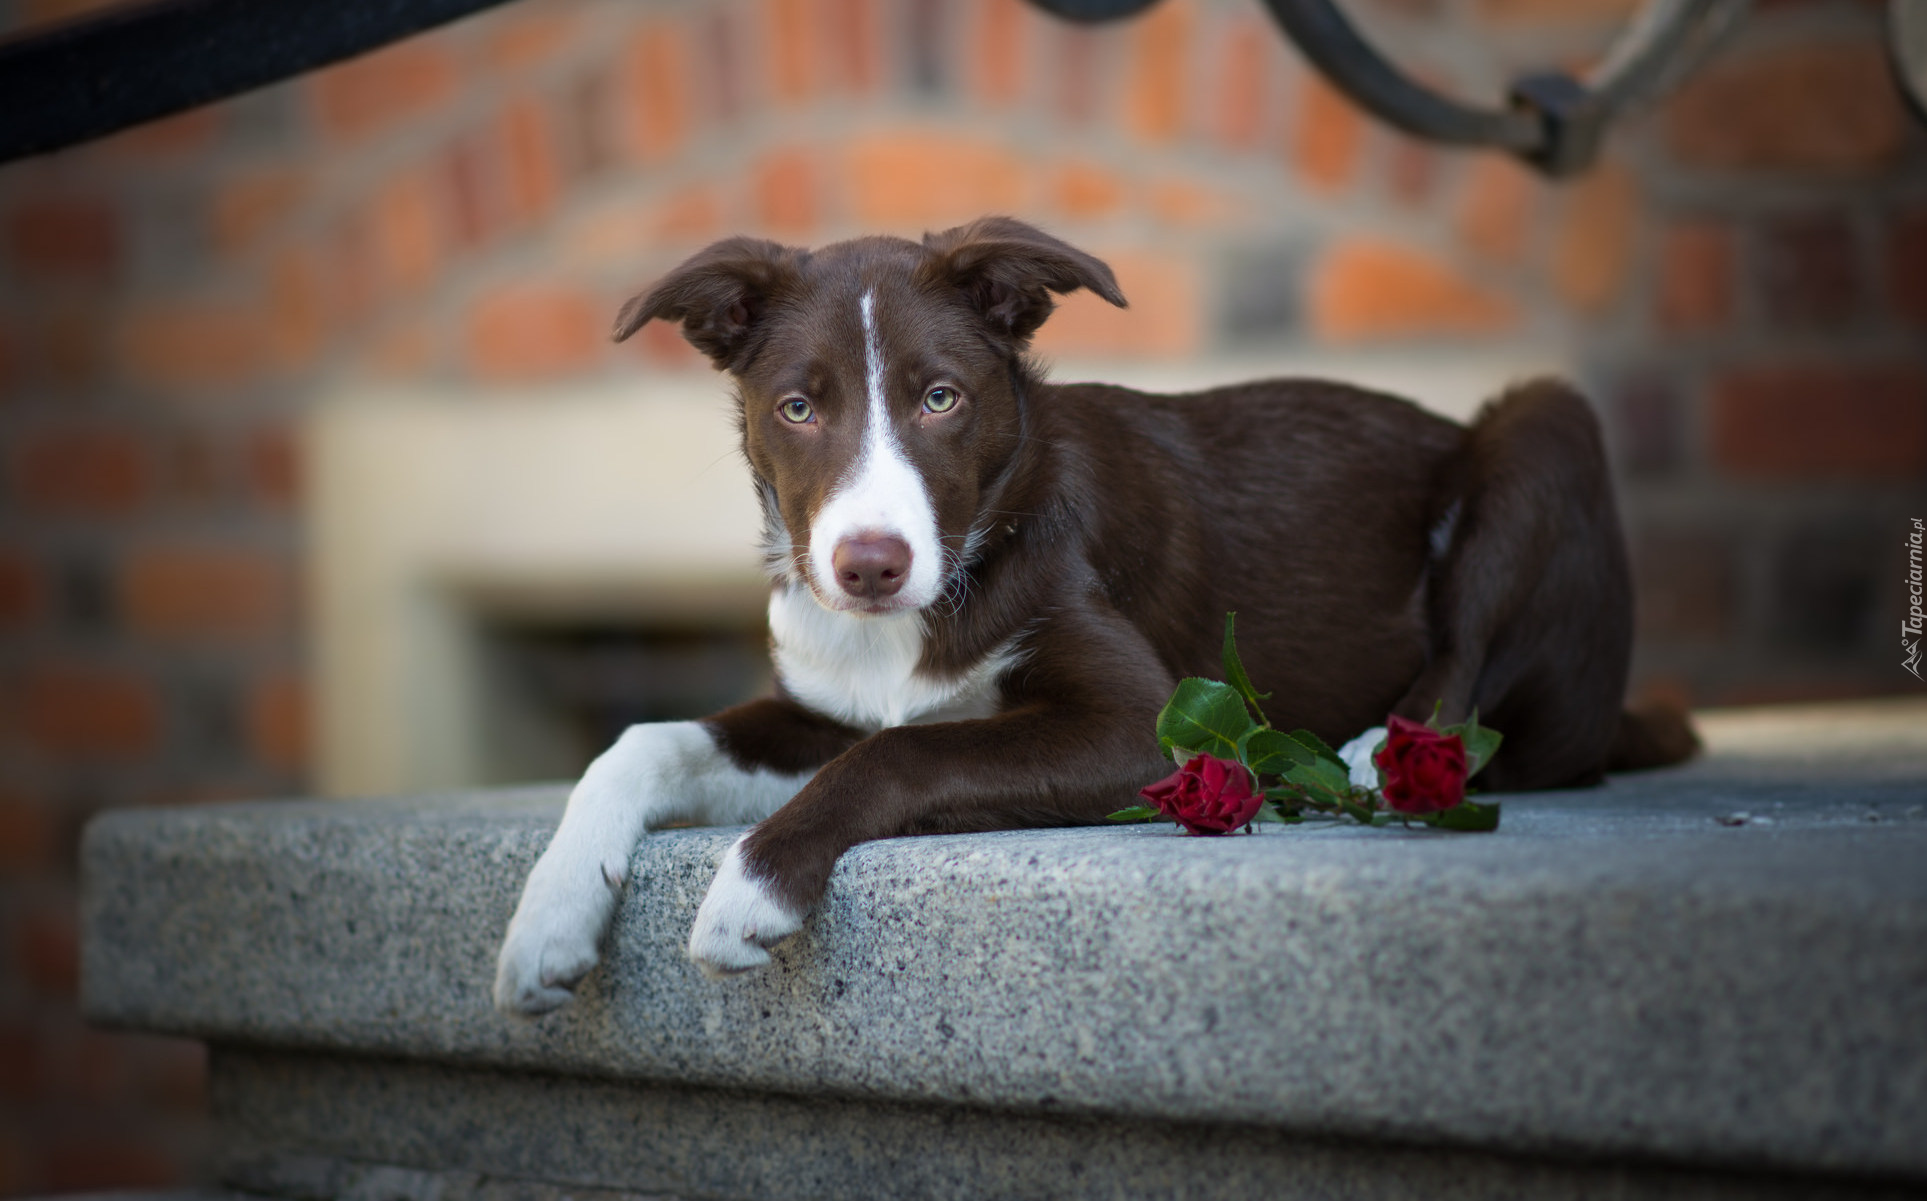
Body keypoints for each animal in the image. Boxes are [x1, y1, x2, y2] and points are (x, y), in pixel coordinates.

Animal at [493, 218, 1688, 1017]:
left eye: (941, 398)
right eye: (796, 407)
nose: (869, 565)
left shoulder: (1144, 732)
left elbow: (906, 756)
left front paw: (750, 884)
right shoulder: (821, 708)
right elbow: (645, 740)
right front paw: (546, 918)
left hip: (1540, 432)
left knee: (1469, 665)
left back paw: (1368, 756)